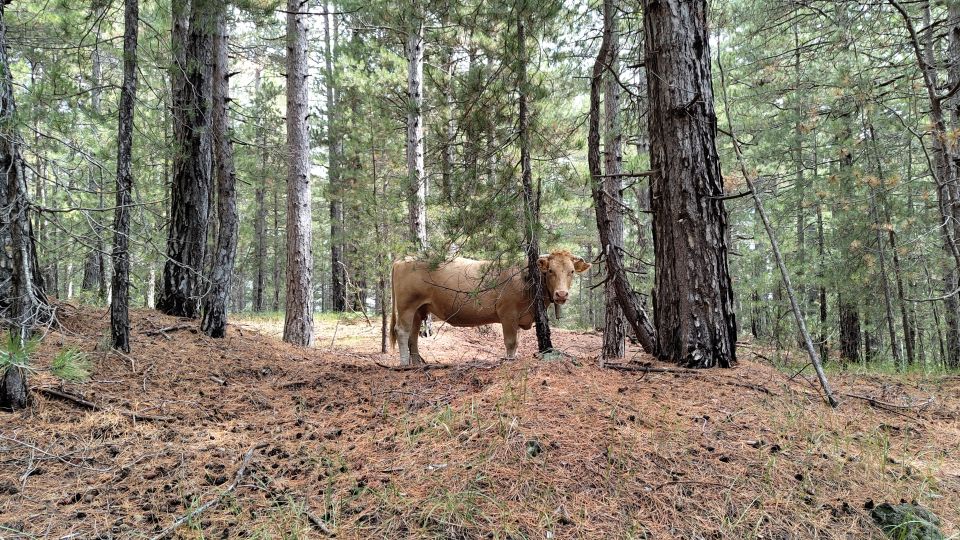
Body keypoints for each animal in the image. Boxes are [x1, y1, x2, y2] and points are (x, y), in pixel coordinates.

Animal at [390, 251, 592, 364]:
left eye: (571, 271)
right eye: (550, 271)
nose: (561, 294)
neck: (527, 279)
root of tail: (402, 259)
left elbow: (516, 343)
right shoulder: (508, 314)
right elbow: (510, 342)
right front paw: (509, 361)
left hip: (419, 309)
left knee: (413, 335)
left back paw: (417, 362)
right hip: (407, 306)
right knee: (402, 331)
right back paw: (404, 363)